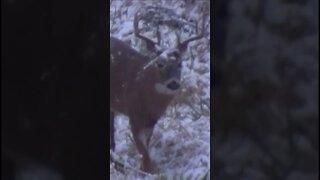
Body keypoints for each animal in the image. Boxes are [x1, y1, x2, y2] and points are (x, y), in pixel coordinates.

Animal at [110, 10, 205, 173]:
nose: (173, 83)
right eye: (160, 64)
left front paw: (143, 168)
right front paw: (147, 170)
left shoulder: (151, 121)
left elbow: (146, 148)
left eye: (180, 64)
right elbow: (143, 152)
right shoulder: (133, 115)